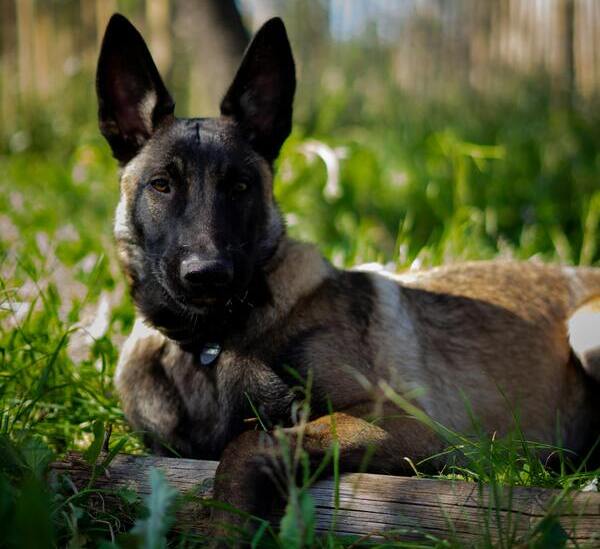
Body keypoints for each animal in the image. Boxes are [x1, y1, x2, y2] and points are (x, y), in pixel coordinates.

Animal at [97, 12, 600, 540]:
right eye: (161, 185)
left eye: (240, 186)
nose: (208, 275)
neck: (211, 344)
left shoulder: (408, 423)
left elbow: (250, 444)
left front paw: (228, 529)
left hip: (586, 328)